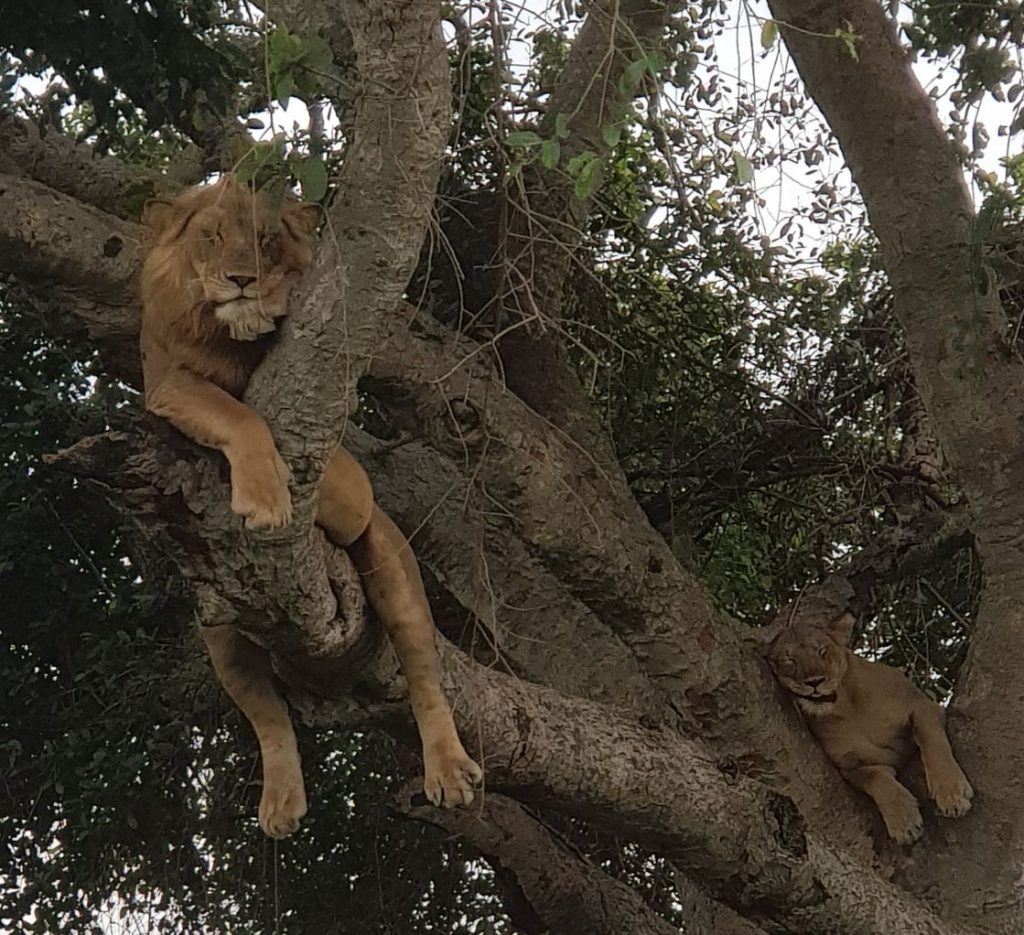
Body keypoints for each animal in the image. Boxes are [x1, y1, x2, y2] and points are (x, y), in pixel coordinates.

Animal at [139, 179, 483, 835]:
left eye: (266, 239)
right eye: (211, 235)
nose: (241, 279)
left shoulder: (353, 484)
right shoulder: (167, 383)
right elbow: (234, 411)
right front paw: (266, 501)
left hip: (391, 563)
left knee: (423, 671)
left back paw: (449, 770)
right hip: (218, 629)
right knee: (269, 716)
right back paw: (281, 802)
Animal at [770, 610, 974, 843]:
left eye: (822, 651)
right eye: (789, 660)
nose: (814, 682)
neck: (847, 706)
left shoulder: (922, 706)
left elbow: (933, 742)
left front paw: (951, 793)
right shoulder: (850, 765)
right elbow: (875, 778)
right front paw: (904, 822)